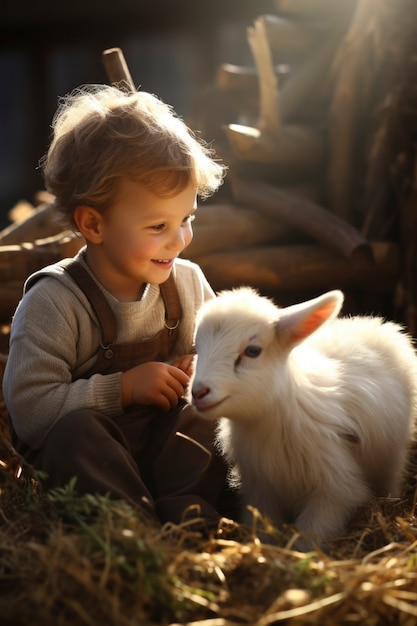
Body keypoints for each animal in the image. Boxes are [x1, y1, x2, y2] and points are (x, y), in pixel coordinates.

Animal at [191, 288, 416, 544]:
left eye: (252, 351)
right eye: (196, 349)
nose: (198, 393)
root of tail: (370, 322)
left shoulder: (336, 490)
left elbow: (307, 539)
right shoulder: (260, 491)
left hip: (393, 455)